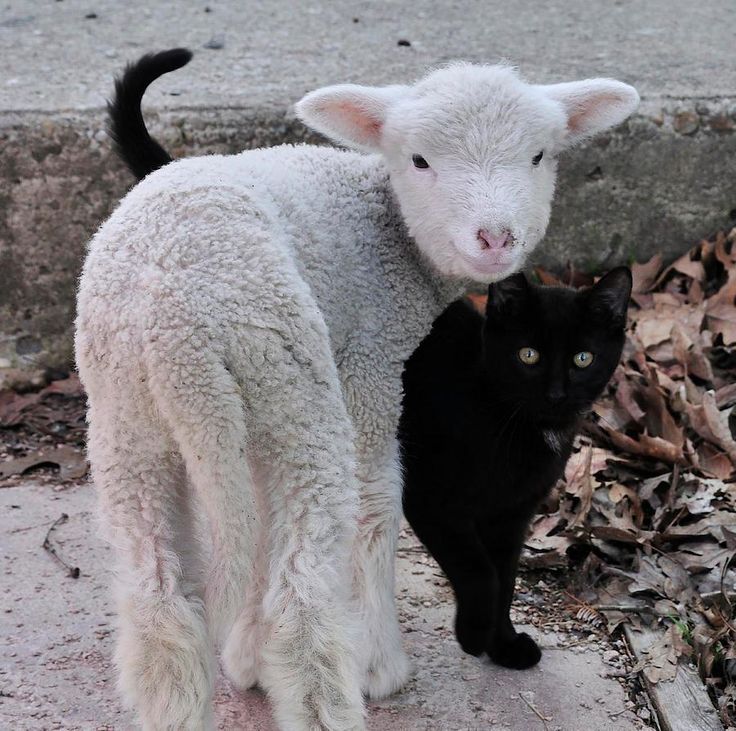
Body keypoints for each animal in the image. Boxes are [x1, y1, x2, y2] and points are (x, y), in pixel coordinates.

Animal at [75, 49, 638, 731]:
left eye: (538, 156)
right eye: (419, 160)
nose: (495, 239)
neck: (392, 229)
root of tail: (174, 330)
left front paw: (246, 657)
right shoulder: (369, 360)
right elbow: (378, 500)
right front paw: (376, 663)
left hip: (129, 411)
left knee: (159, 598)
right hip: (288, 376)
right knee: (301, 590)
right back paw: (328, 694)